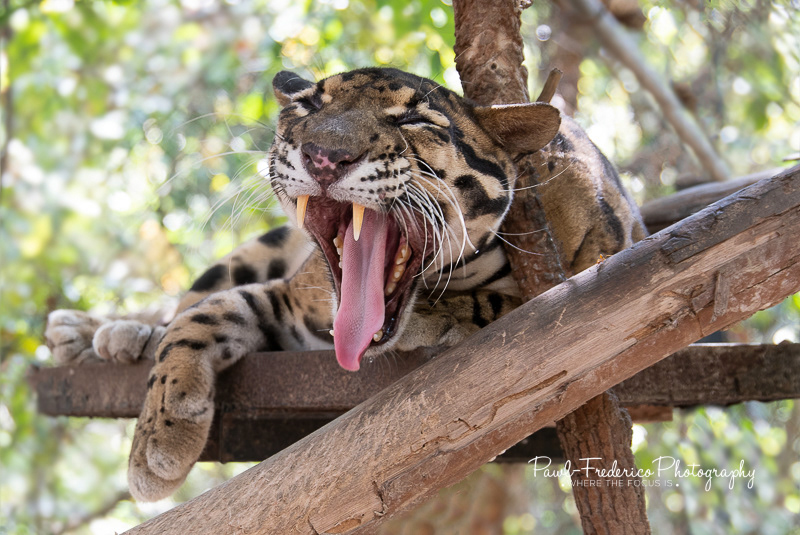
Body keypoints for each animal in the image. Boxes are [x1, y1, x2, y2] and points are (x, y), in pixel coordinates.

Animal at [44, 67, 646, 502]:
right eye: (310, 107)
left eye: (414, 119)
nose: (324, 156)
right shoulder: (289, 297)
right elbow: (200, 317)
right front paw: (157, 444)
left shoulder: (600, 274)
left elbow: (506, 307)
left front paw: (440, 316)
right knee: (186, 300)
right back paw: (103, 331)